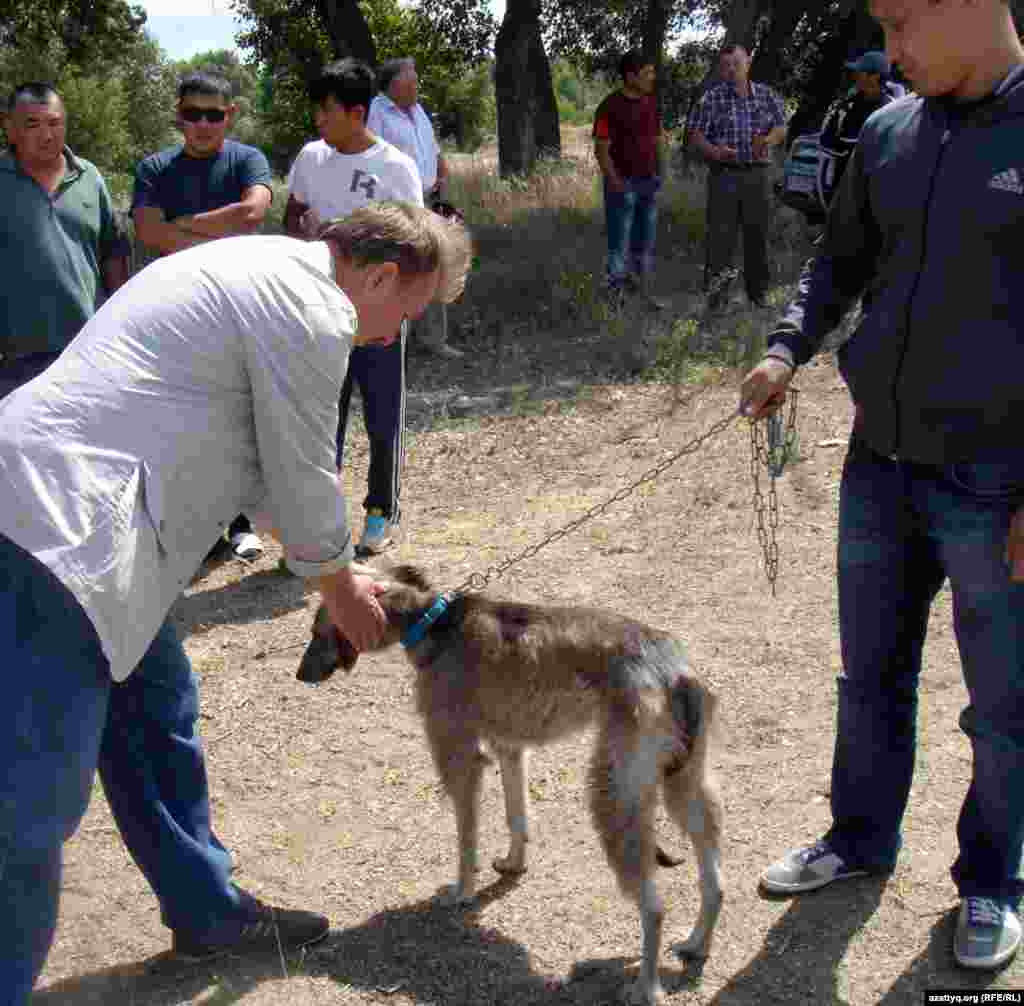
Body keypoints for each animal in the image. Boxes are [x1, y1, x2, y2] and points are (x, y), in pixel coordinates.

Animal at [299, 565, 724, 1006]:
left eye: (317, 631)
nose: (299, 674)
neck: (433, 620)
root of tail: (675, 671)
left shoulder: (460, 757)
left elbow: (466, 837)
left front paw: (462, 891)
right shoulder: (509, 748)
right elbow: (516, 816)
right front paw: (512, 863)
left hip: (615, 795)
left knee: (654, 908)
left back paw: (646, 987)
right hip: (684, 784)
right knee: (714, 883)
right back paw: (696, 945)